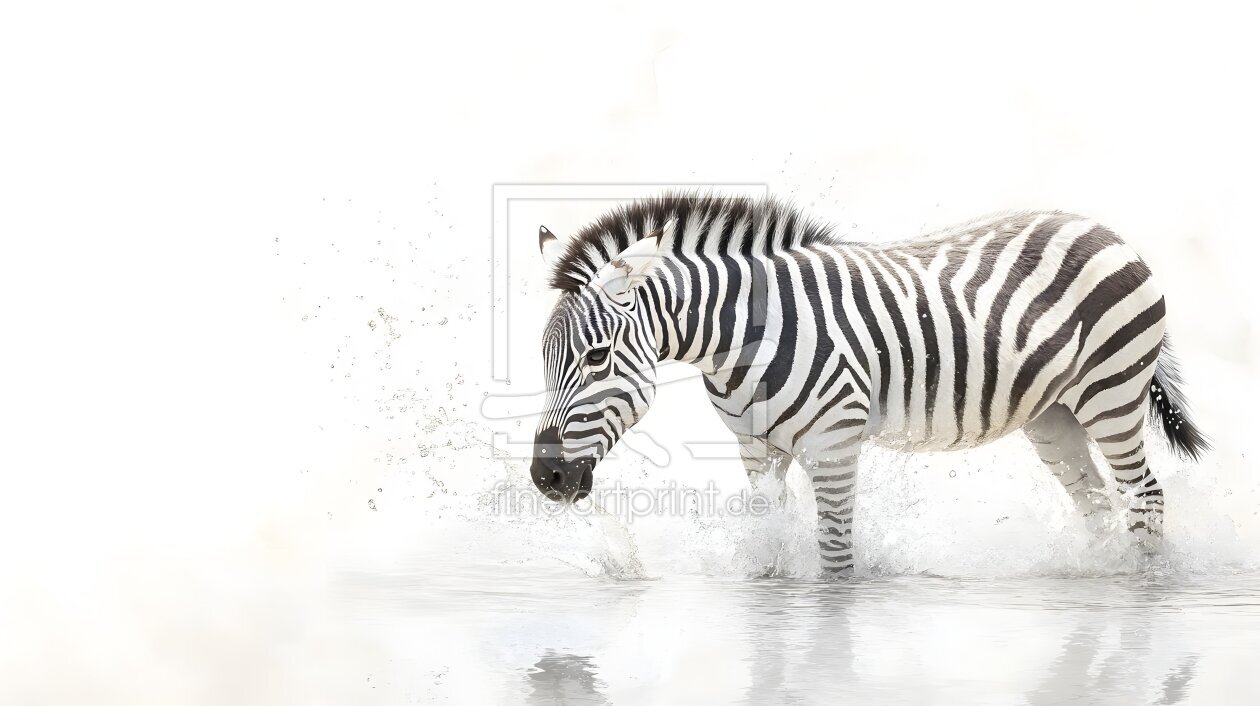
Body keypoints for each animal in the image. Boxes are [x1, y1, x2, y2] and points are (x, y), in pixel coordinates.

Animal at [529, 193, 1209, 574]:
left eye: (596, 357)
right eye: (543, 360)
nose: (546, 477)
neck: (743, 337)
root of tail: (1100, 227)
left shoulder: (833, 445)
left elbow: (835, 557)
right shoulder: (756, 448)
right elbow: (770, 549)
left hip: (1111, 393)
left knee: (1145, 496)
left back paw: (1142, 581)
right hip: (1053, 415)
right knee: (1096, 506)